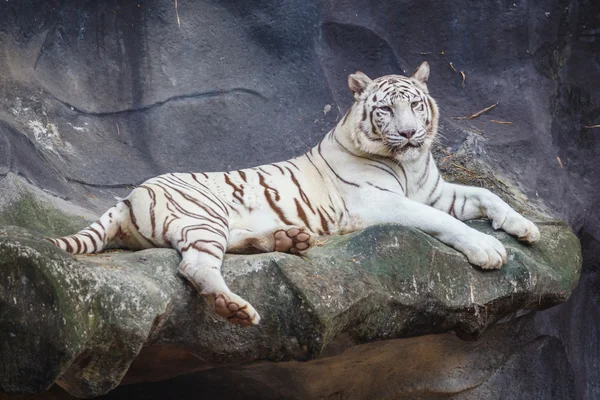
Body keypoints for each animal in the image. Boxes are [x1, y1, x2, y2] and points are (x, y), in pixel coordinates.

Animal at [49, 61, 540, 324]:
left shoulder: (433, 191)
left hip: (218, 221)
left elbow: (487, 196)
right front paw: (488, 249)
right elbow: (445, 221)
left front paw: (525, 227)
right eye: (385, 109)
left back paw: (290, 239)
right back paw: (235, 307)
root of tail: (128, 195)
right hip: (204, 213)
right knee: (195, 266)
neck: (410, 163)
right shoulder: (380, 203)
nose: (409, 133)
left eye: (416, 105)